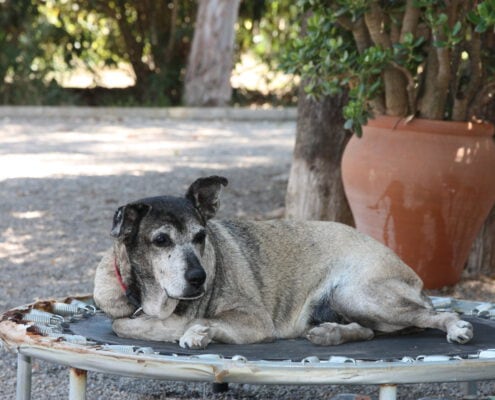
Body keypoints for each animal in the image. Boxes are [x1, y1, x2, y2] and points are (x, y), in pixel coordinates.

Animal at [93, 176, 473, 349]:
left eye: (201, 236)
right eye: (161, 240)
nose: (199, 278)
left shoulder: (255, 320)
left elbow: (199, 321)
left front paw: (192, 330)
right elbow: (122, 324)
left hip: (360, 293)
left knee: (436, 314)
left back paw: (456, 327)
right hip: (349, 303)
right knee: (368, 330)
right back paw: (330, 333)